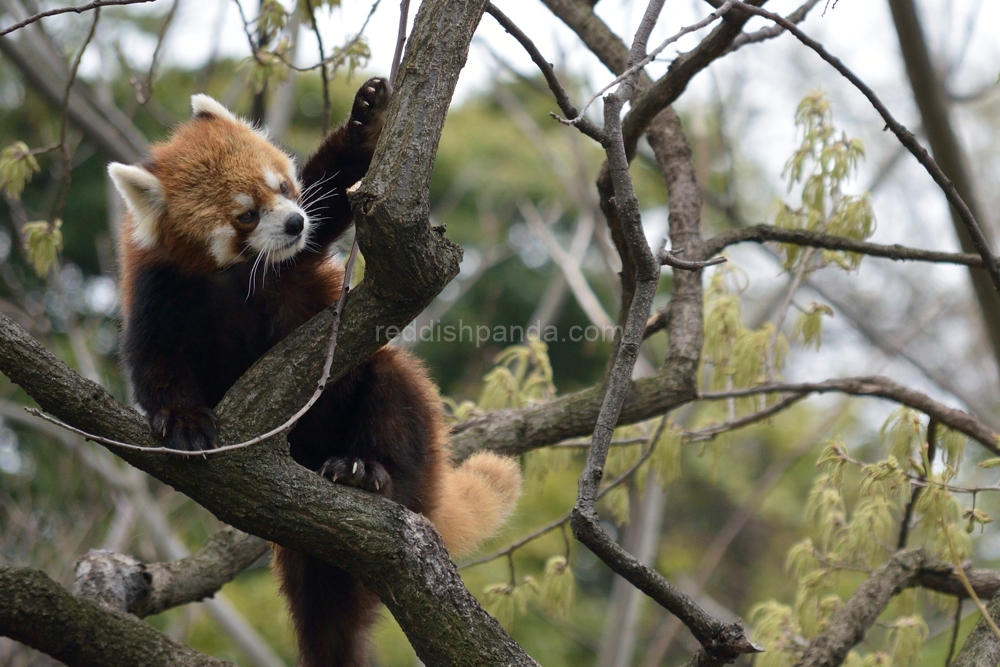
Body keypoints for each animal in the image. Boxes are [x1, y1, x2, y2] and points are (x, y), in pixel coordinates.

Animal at [109, 79, 524, 667]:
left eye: (283, 187)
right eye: (245, 215)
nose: (291, 221)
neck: (230, 275)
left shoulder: (298, 256)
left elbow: (333, 192)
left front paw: (367, 119)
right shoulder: (157, 292)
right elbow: (155, 363)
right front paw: (184, 420)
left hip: (405, 424)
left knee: (392, 391)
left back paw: (366, 471)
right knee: (324, 608)